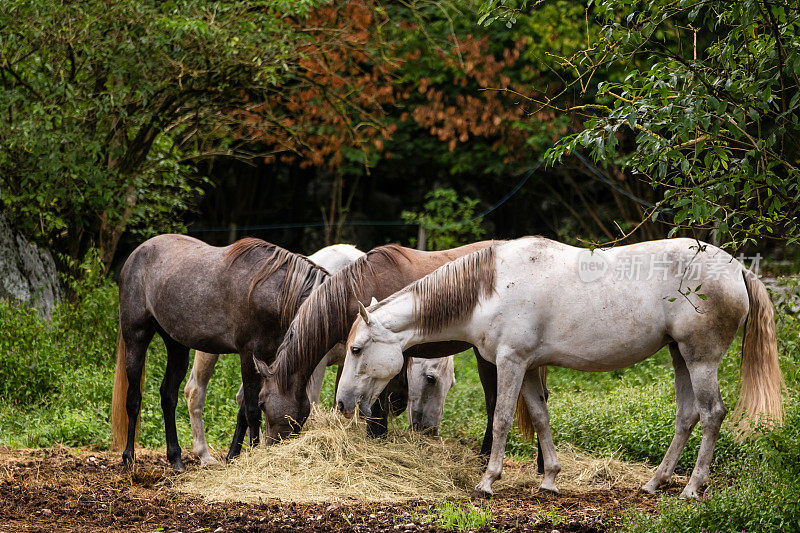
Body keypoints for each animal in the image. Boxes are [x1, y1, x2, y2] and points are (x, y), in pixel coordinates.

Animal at [109, 235, 328, 468]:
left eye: (304, 415)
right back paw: (129, 457)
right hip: (136, 339)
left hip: (177, 346)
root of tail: (137, 253)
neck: (276, 292)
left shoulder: (268, 359)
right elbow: (251, 409)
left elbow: (244, 410)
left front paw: (233, 455)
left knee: (168, 395)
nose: (281, 446)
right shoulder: (249, 355)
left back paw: (175, 458)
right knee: (133, 399)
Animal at [253, 240, 548, 462]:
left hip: (488, 358)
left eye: (262, 403)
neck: (362, 287)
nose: (270, 446)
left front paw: (377, 440)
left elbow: (377, 404)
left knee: (495, 402)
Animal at [336, 237, 780, 498]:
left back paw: (692, 487)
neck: (489, 289)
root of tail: (737, 268)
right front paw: (549, 479)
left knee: (711, 414)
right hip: (679, 355)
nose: (341, 403)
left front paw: (487, 481)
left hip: (700, 359)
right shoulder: (530, 367)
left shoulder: (511, 362)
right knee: (687, 416)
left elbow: (501, 418)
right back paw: (654, 483)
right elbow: (540, 417)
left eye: (356, 349)